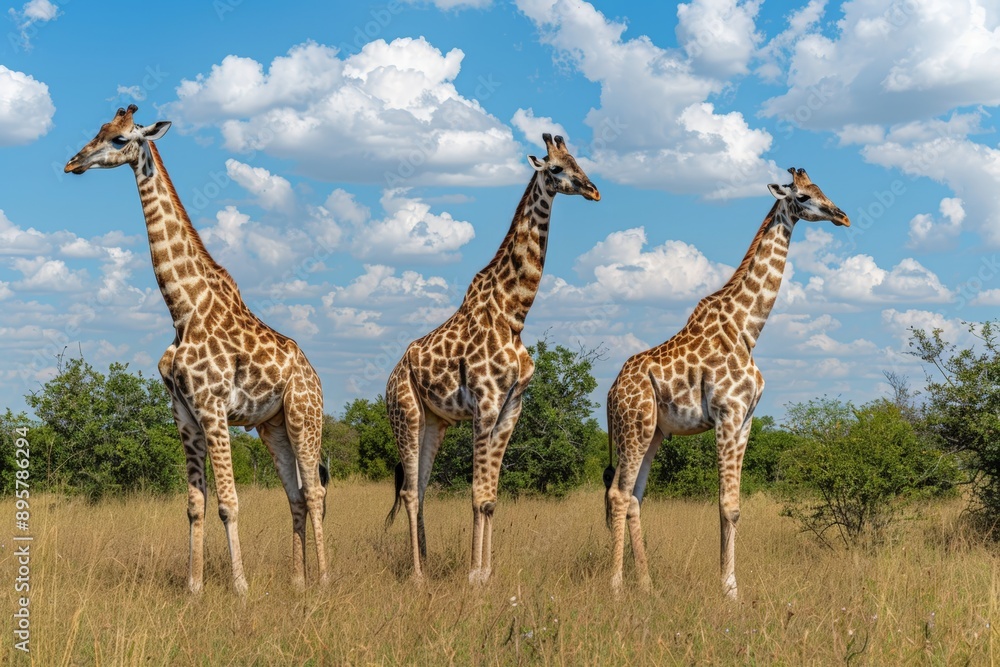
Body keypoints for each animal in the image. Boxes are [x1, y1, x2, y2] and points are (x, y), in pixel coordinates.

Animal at [64, 105, 328, 594]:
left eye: (120, 139)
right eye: (99, 130)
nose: (73, 163)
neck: (182, 308)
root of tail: (315, 376)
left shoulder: (212, 406)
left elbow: (228, 501)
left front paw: (240, 587)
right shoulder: (183, 413)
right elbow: (194, 504)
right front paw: (194, 587)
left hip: (305, 415)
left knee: (316, 491)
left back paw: (323, 581)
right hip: (272, 426)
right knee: (297, 495)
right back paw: (298, 582)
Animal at [385, 134, 600, 584]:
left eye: (579, 160)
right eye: (557, 168)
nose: (593, 190)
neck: (513, 314)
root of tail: (391, 376)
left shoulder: (511, 405)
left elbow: (491, 497)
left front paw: (488, 574)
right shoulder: (485, 402)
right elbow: (476, 494)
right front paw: (474, 576)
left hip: (435, 422)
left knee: (422, 489)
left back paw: (426, 563)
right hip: (405, 413)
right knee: (410, 491)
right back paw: (417, 575)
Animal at [604, 168, 850, 599]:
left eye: (822, 189)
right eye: (803, 196)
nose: (841, 215)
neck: (748, 329)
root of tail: (610, 392)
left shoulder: (747, 418)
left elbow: (735, 506)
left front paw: (733, 586)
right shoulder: (726, 413)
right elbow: (726, 505)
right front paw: (728, 591)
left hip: (653, 433)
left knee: (634, 497)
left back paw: (647, 586)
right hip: (634, 427)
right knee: (619, 494)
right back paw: (617, 587)